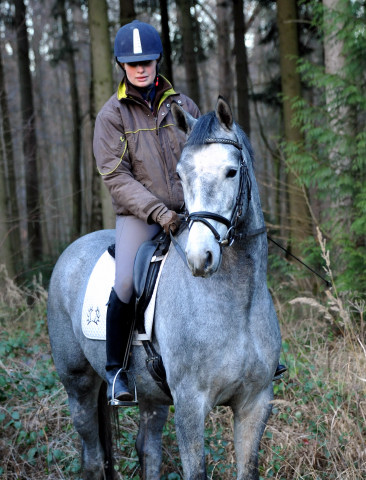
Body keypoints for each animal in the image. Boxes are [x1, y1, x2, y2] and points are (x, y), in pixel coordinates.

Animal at [45, 97, 280, 480]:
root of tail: (72, 249)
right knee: (93, 456)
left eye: (231, 172)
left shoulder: (255, 402)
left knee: (148, 449)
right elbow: (195, 471)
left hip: (152, 396)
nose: (201, 257)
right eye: (181, 175)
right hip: (78, 384)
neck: (237, 303)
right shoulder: (190, 404)